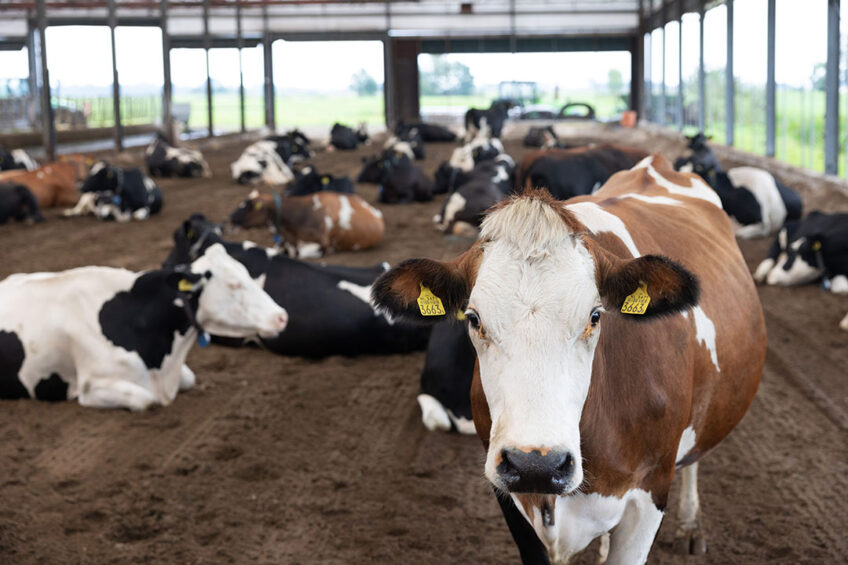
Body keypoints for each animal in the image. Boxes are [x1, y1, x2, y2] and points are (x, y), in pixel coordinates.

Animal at [0, 242, 288, 410]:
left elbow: (189, 378)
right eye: (233, 284)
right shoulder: (92, 387)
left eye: (246, 273)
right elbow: (146, 400)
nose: (282, 316)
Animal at [374, 154, 764, 564]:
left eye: (595, 316)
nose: (536, 462)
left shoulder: (649, 495)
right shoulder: (512, 495)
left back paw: (691, 525)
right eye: (474, 318)